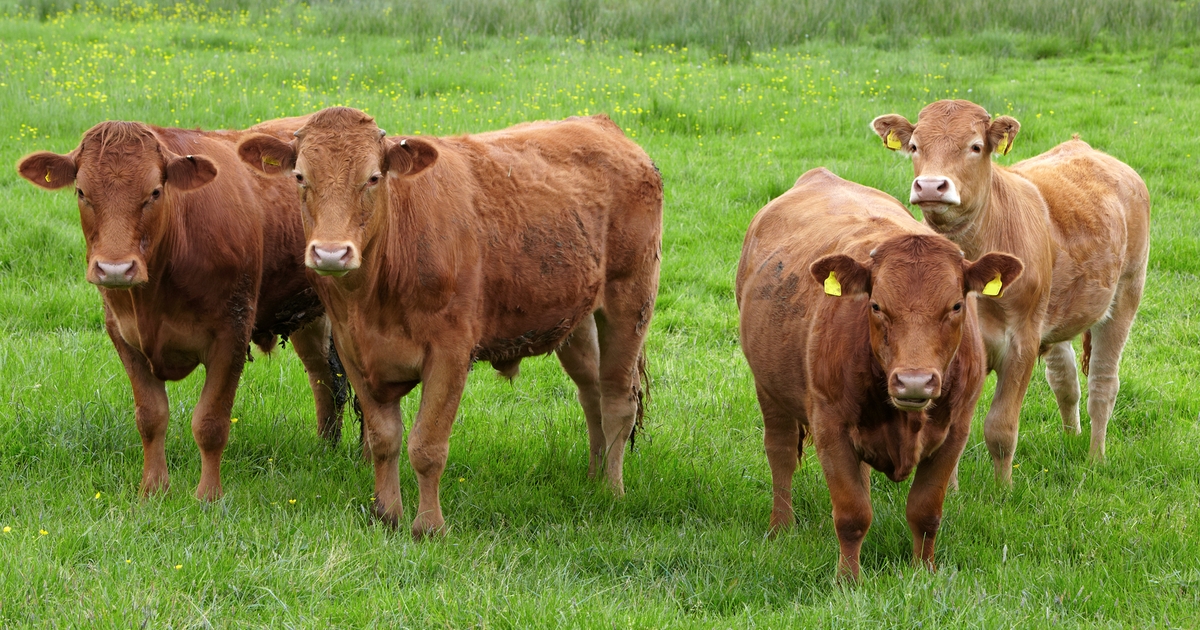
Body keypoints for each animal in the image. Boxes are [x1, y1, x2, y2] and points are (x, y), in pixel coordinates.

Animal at [17, 116, 348, 501]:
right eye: (82, 193)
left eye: (154, 192)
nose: (114, 268)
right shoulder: (123, 334)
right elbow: (150, 417)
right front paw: (153, 489)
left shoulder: (231, 334)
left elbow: (210, 422)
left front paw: (208, 496)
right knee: (323, 377)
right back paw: (326, 449)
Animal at [237, 104, 662, 535]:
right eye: (300, 176)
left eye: (373, 177)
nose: (330, 253)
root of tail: (599, 123)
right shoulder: (352, 350)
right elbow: (384, 439)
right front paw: (387, 515)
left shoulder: (450, 353)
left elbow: (427, 446)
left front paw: (429, 526)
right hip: (576, 319)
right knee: (591, 393)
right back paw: (593, 478)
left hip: (630, 301)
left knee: (617, 400)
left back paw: (611, 490)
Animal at [734, 168, 1027, 580]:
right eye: (875, 305)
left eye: (956, 305)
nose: (915, 381)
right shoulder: (830, 427)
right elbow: (852, 514)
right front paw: (847, 579)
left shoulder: (955, 430)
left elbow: (926, 512)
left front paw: (924, 571)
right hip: (769, 387)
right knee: (781, 454)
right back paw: (781, 527)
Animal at [873, 99, 1152, 482]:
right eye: (914, 147)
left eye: (976, 146)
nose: (930, 186)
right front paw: (949, 488)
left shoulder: (1022, 342)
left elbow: (1001, 427)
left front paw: (1003, 488)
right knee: (1065, 380)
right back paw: (1072, 438)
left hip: (1126, 293)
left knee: (1103, 385)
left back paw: (1096, 458)